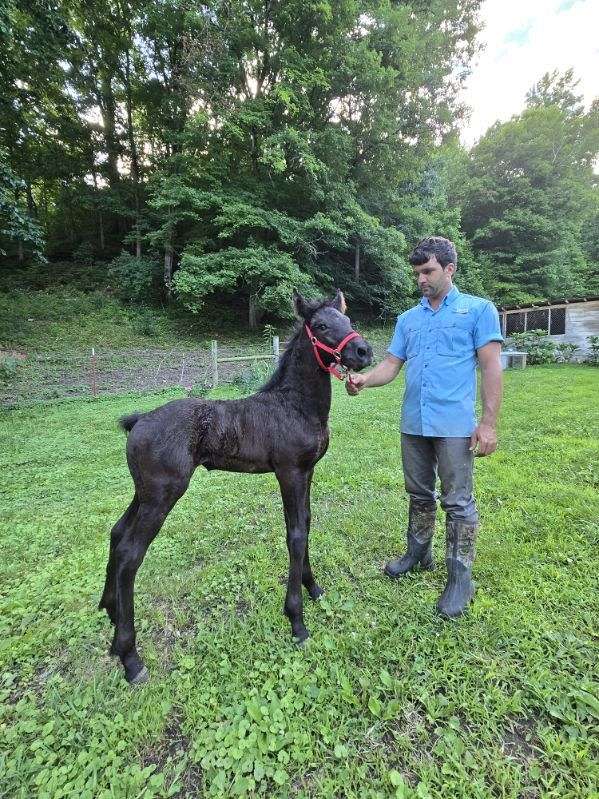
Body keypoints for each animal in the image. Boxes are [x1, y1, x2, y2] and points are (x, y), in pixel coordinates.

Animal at [99, 290, 373, 683]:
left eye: (348, 321)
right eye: (321, 325)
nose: (364, 351)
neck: (296, 405)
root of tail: (138, 421)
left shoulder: (307, 472)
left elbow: (306, 525)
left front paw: (313, 587)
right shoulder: (289, 472)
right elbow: (295, 535)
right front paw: (296, 620)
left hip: (145, 492)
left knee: (117, 533)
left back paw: (109, 611)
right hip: (163, 495)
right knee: (130, 554)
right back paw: (130, 658)